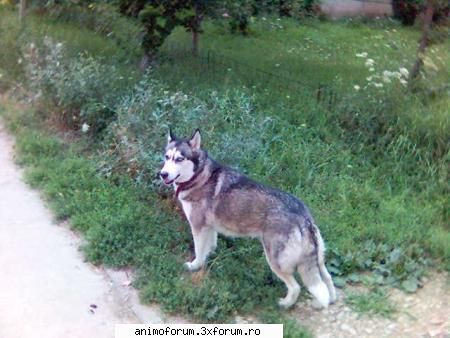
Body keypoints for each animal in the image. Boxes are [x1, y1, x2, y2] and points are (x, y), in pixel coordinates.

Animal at [160, 129, 336, 308]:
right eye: (167, 157)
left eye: (179, 159)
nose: (163, 174)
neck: (199, 175)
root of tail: (304, 216)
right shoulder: (209, 228)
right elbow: (209, 247)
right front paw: (210, 256)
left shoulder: (198, 227)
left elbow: (199, 253)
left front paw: (195, 265)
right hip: (318, 259)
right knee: (327, 279)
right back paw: (330, 300)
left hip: (275, 260)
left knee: (296, 287)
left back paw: (284, 304)